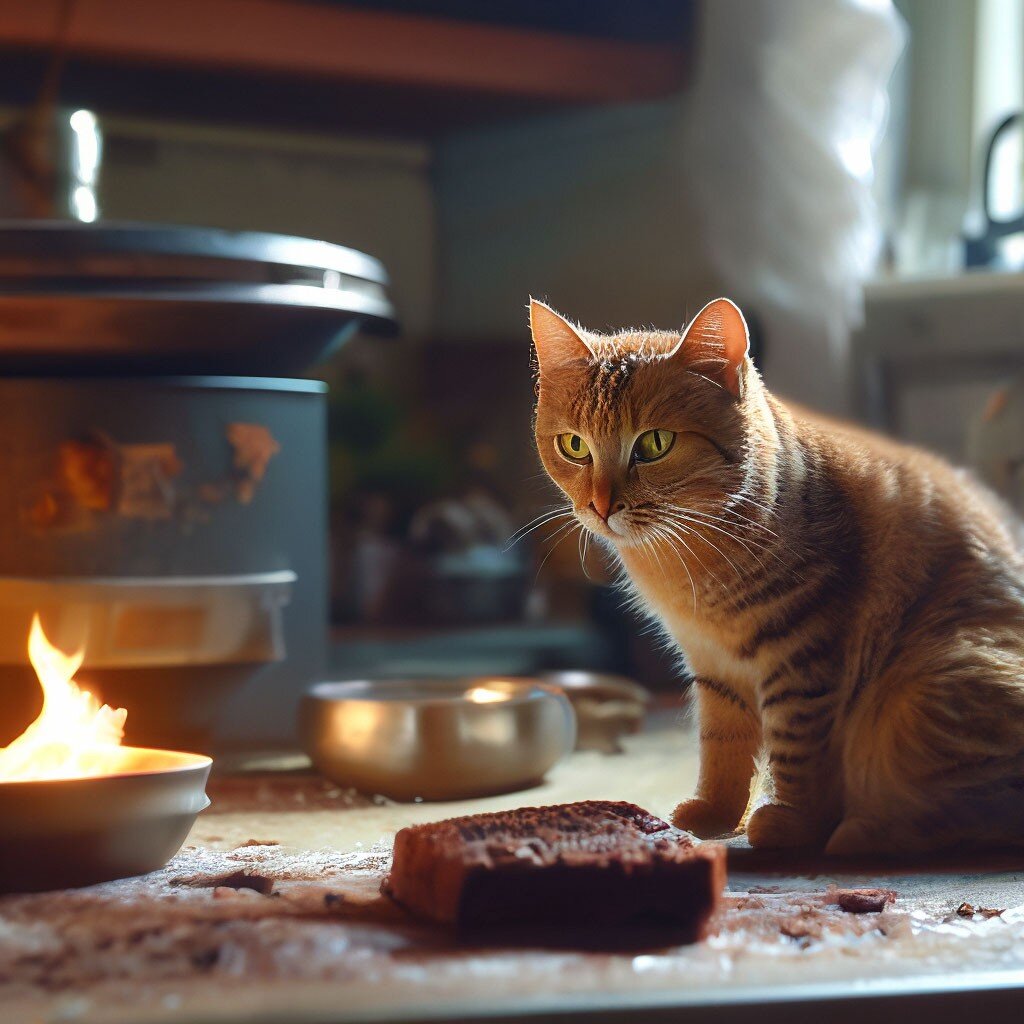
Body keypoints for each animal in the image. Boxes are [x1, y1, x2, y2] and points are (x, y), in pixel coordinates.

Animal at [532, 299, 1024, 856]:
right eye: (574, 446)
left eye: (654, 444)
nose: (599, 506)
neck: (689, 551)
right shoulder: (712, 665)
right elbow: (721, 746)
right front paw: (716, 814)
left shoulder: (803, 650)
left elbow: (796, 743)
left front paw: (789, 822)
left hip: (921, 695)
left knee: (973, 811)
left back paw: (862, 832)